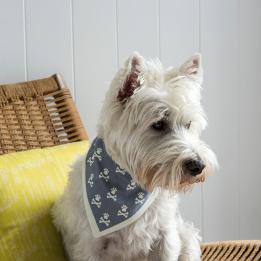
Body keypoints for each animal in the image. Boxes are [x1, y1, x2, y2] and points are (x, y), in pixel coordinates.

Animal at [51, 51, 216, 258]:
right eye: (159, 124)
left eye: (188, 124)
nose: (198, 166)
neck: (131, 184)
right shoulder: (88, 246)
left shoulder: (165, 237)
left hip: (187, 237)